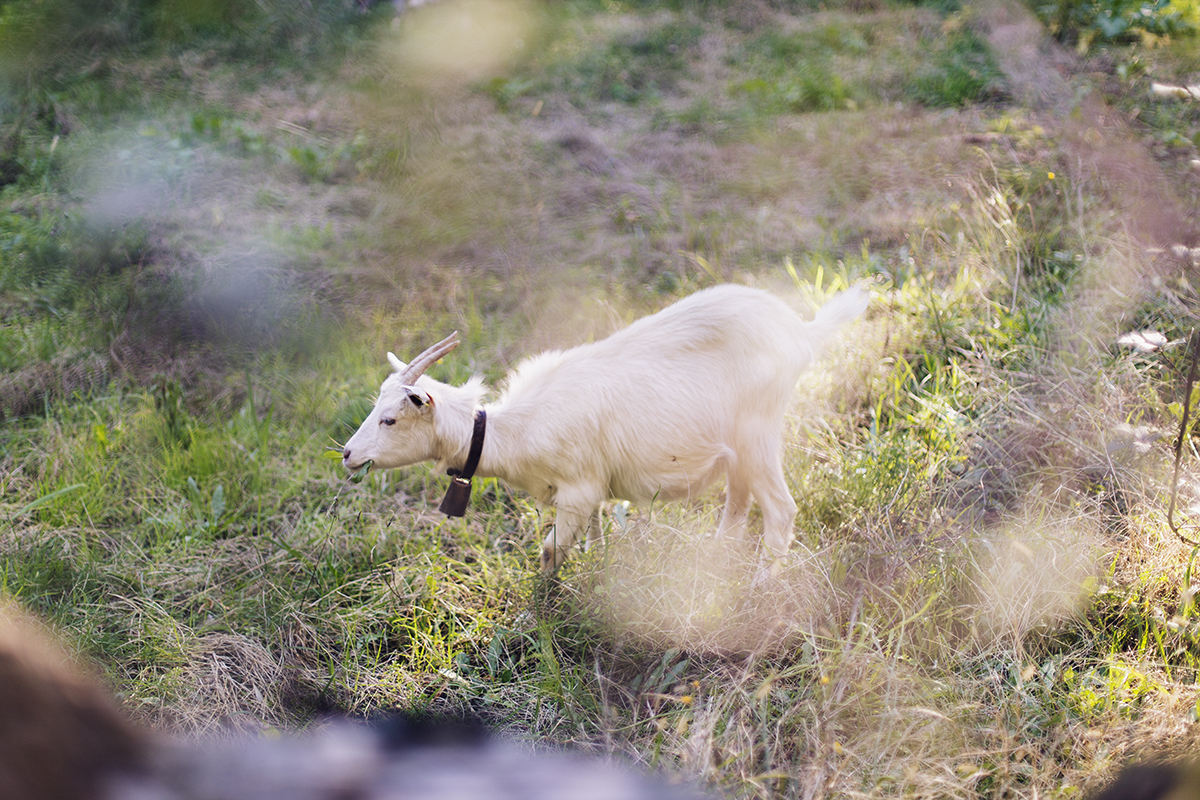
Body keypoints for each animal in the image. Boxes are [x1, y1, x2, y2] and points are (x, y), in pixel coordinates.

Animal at [343, 281, 868, 568]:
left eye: (390, 418)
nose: (348, 454)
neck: (516, 429)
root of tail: (801, 331)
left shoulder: (578, 490)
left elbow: (550, 553)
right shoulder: (591, 490)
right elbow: (595, 541)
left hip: (759, 429)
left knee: (780, 512)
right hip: (738, 445)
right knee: (737, 509)